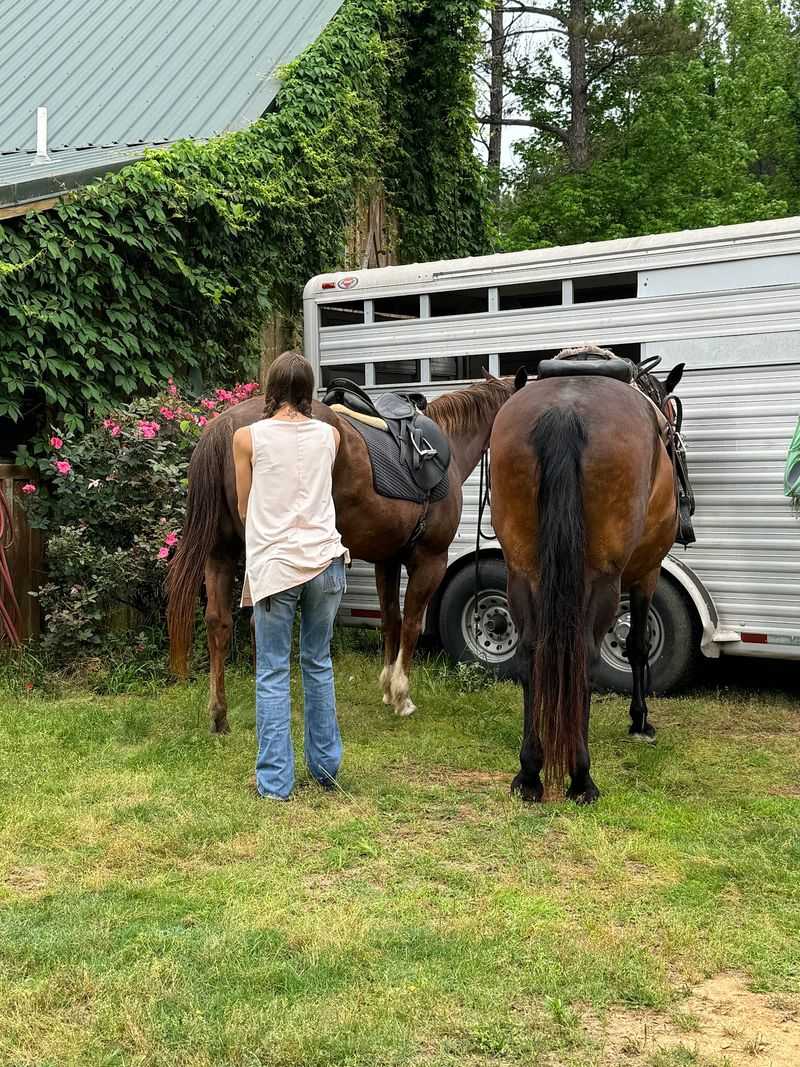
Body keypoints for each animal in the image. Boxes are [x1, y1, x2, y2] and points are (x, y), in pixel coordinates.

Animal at [167, 374, 514, 732]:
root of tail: (224, 427)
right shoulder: (431, 560)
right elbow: (412, 623)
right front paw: (401, 695)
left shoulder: (387, 560)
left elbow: (391, 618)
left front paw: (387, 689)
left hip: (220, 552)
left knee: (217, 622)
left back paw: (219, 716)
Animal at [489, 347, 685, 804]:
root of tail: (565, 410)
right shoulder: (647, 572)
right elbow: (636, 645)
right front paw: (640, 720)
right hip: (603, 579)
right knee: (586, 654)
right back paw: (581, 776)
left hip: (522, 570)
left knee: (531, 651)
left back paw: (529, 772)